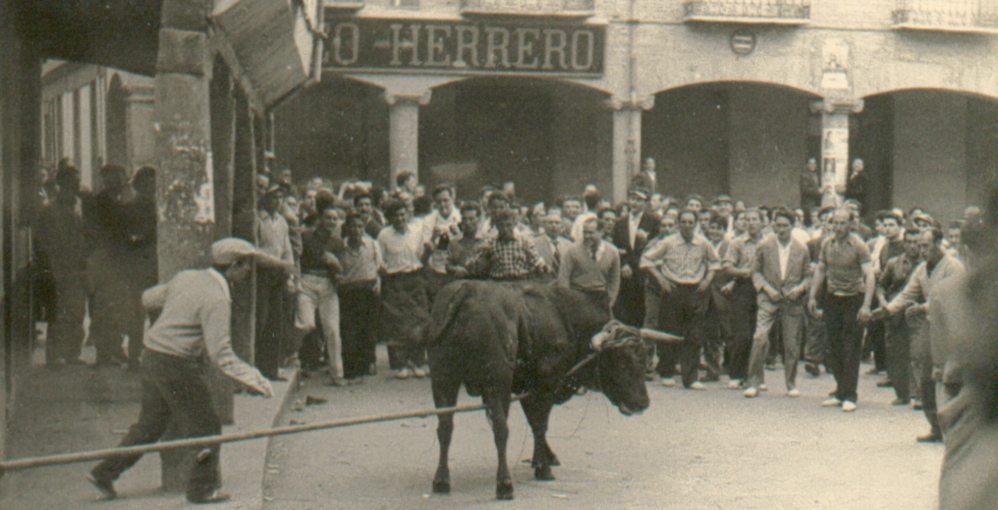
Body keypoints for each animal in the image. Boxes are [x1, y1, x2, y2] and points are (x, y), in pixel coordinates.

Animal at [426, 278, 652, 498]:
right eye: (622, 361)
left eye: (643, 360)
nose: (643, 403)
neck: (564, 317)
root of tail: (468, 290)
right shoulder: (544, 387)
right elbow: (540, 425)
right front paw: (543, 467)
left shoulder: (527, 390)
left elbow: (534, 423)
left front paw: (543, 458)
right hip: (496, 383)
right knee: (500, 429)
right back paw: (504, 484)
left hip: (443, 379)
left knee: (445, 427)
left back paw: (441, 480)